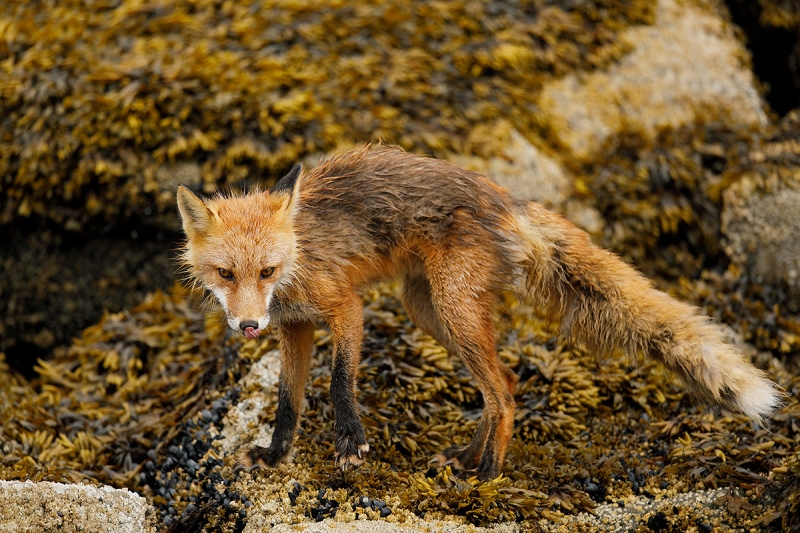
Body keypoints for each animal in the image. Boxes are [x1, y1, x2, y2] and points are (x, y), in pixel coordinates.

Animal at [177, 144, 780, 478]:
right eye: (226, 274)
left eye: (267, 271)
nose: (248, 325)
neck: (299, 258)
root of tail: (505, 200)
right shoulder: (296, 326)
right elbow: (288, 403)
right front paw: (274, 458)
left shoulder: (345, 306)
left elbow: (338, 381)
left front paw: (350, 444)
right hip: (431, 311)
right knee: (503, 384)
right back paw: (468, 460)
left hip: (451, 309)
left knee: (505, 394)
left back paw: (486, 475)